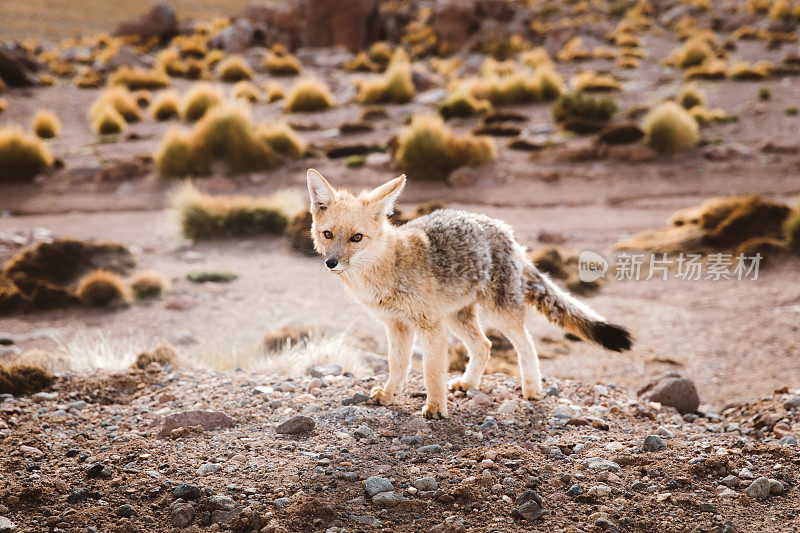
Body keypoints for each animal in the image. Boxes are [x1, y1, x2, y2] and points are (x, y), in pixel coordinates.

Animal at [306, 168, 632, 418]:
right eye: (328, 235)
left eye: (356, 237)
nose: (331, 262)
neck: (384, 273)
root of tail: (505, 231)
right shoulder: (396, 325)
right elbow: (397, 365)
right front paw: (389, 395)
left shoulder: (430, 327)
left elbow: (431, 372)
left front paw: (435, 409)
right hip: (457, 318)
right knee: (484, 345)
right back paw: (468, 382)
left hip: (497, 314)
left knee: (525, 345)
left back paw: (532, 389)